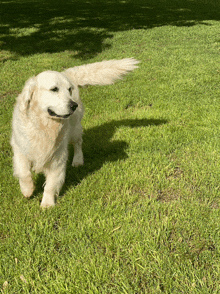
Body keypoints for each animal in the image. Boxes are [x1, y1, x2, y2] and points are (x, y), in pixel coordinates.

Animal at [10, 58, 139, 208]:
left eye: (69, 90)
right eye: (54, 89)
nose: (73, 105)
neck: (44, 126)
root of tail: (68, 73)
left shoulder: (58, 156)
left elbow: (51, 184)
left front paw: (47, 203)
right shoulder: (20, 148)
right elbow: (24, 173)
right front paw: (27, 190)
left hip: (74, 130)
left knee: (78, 144)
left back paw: (78, 160)